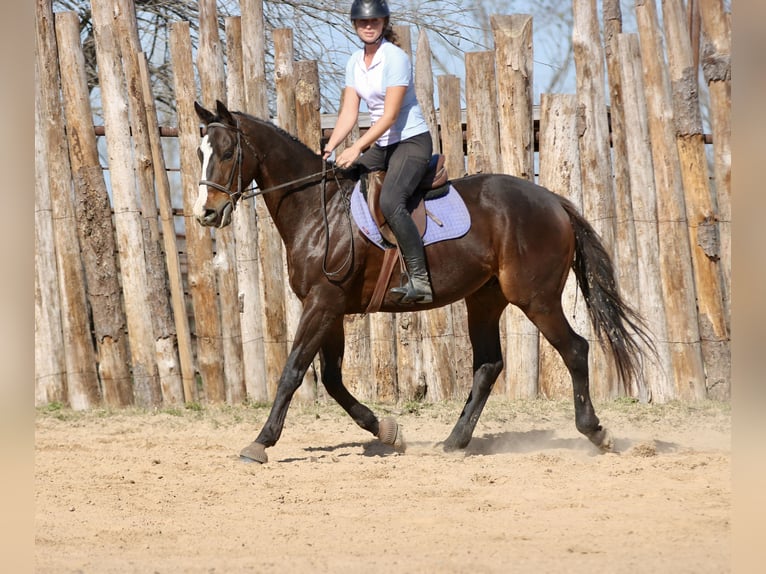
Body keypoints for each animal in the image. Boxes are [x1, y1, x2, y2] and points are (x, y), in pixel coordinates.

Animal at [193, 100, 653, 464]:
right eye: (199, 152)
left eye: (228, 152)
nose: (205, 213)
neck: (317, 209)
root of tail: (552, 201)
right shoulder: (330, 308)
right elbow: (332, 379)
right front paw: (387, 431)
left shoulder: (323, 304)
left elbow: (293, 372)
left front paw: (260, 443)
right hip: (484, 300)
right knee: (489, 365)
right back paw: (454, 442)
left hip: (535, 298)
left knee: (575, 349)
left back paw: (596, 432)